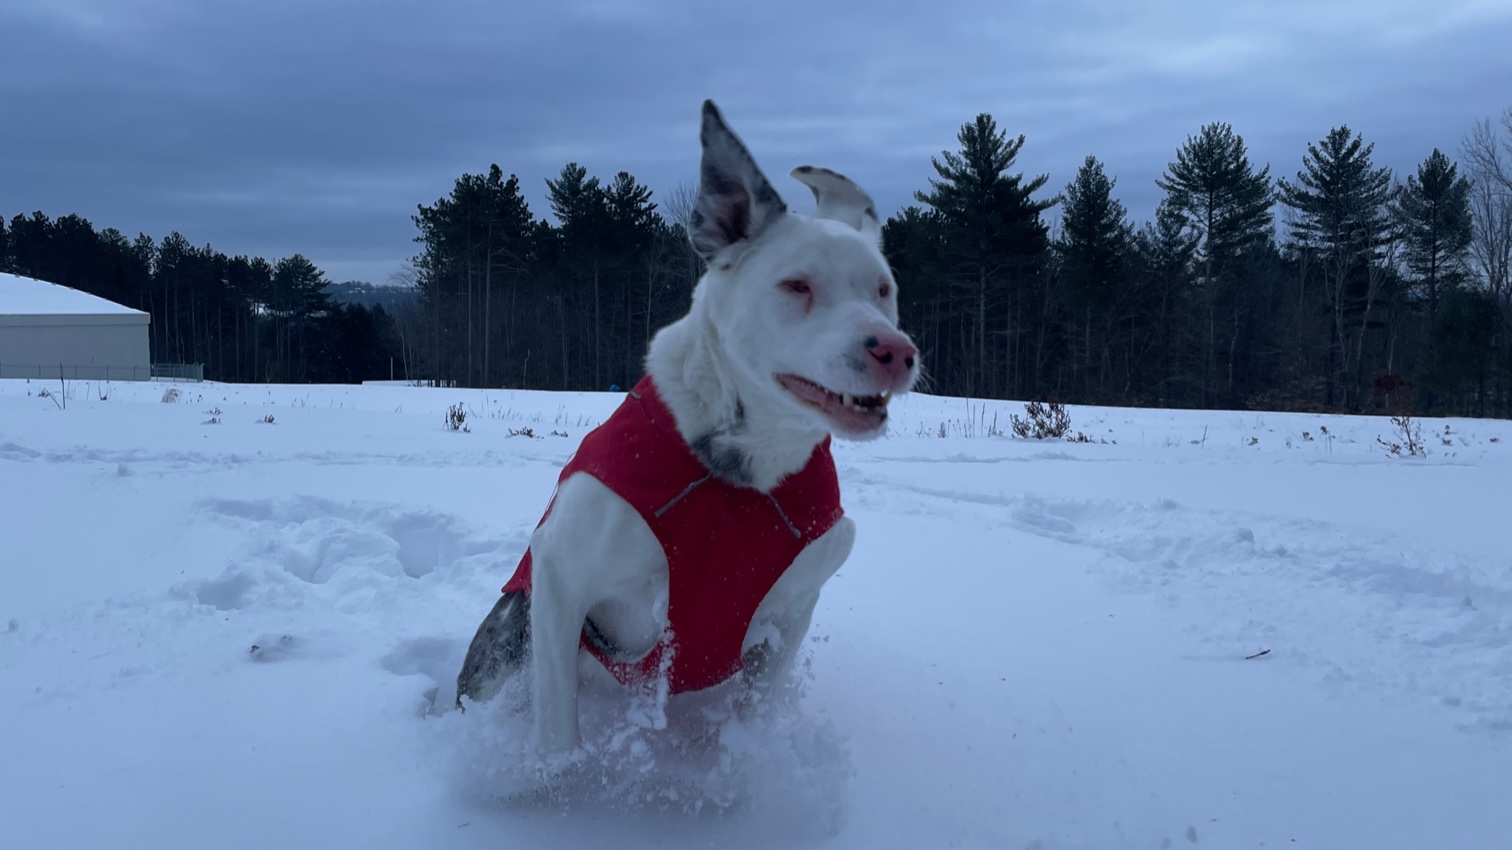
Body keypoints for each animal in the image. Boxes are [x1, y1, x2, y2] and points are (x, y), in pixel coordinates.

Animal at [453, 99, 913, 753]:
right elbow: (559, 732)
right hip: (506, 645)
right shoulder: (561, 575)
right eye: (797, 284)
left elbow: (753, 719)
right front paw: (559, 776)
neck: (740, 472)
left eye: (882, 289)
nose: (896, 352)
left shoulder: (793, 611)